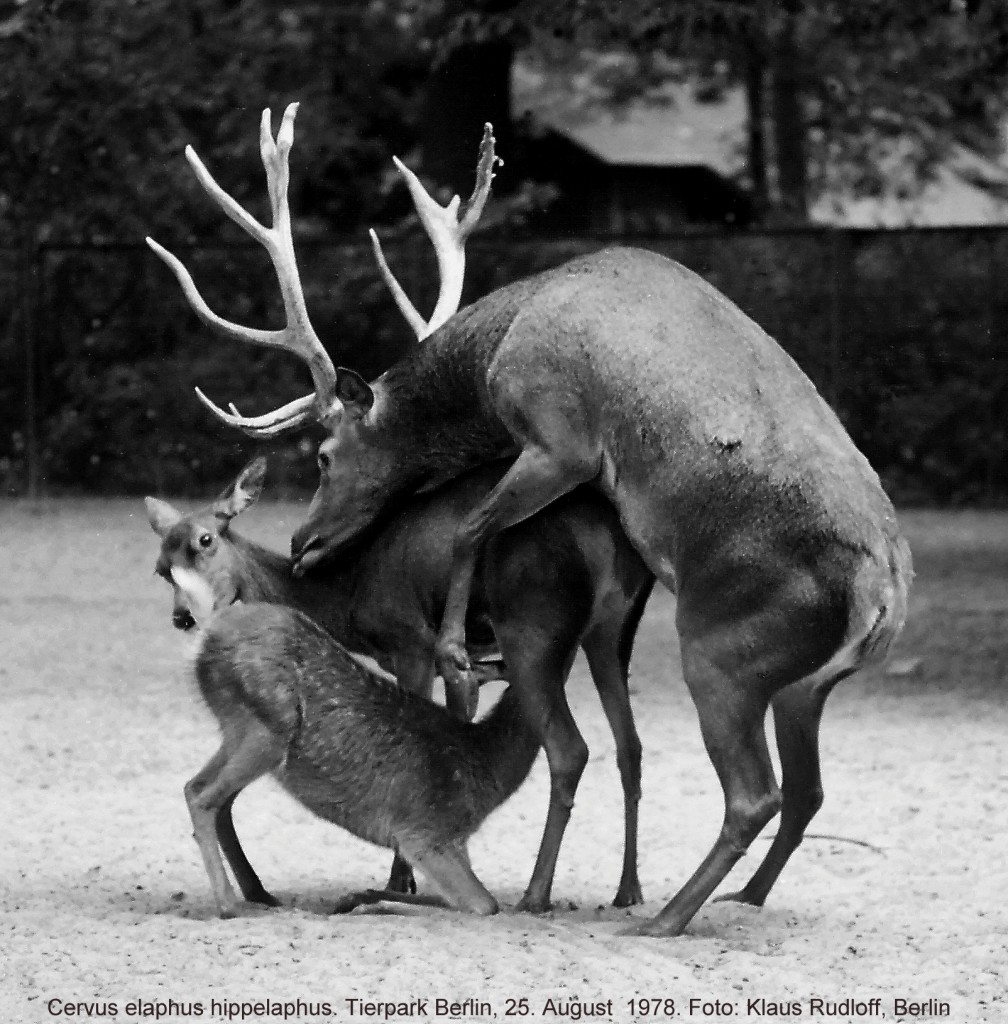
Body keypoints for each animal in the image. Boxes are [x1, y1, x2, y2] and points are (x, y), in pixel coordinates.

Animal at [147, 456, 655, 913]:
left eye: (206, 539)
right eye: (160, 566)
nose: (183, 617)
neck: (344, 602)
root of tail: (609, 540)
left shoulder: (411, 645)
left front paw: (401, 878)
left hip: (532, 631)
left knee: (570, 749)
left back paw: (536, 894)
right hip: (610, 634)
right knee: (629, 746)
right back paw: (628, 889)